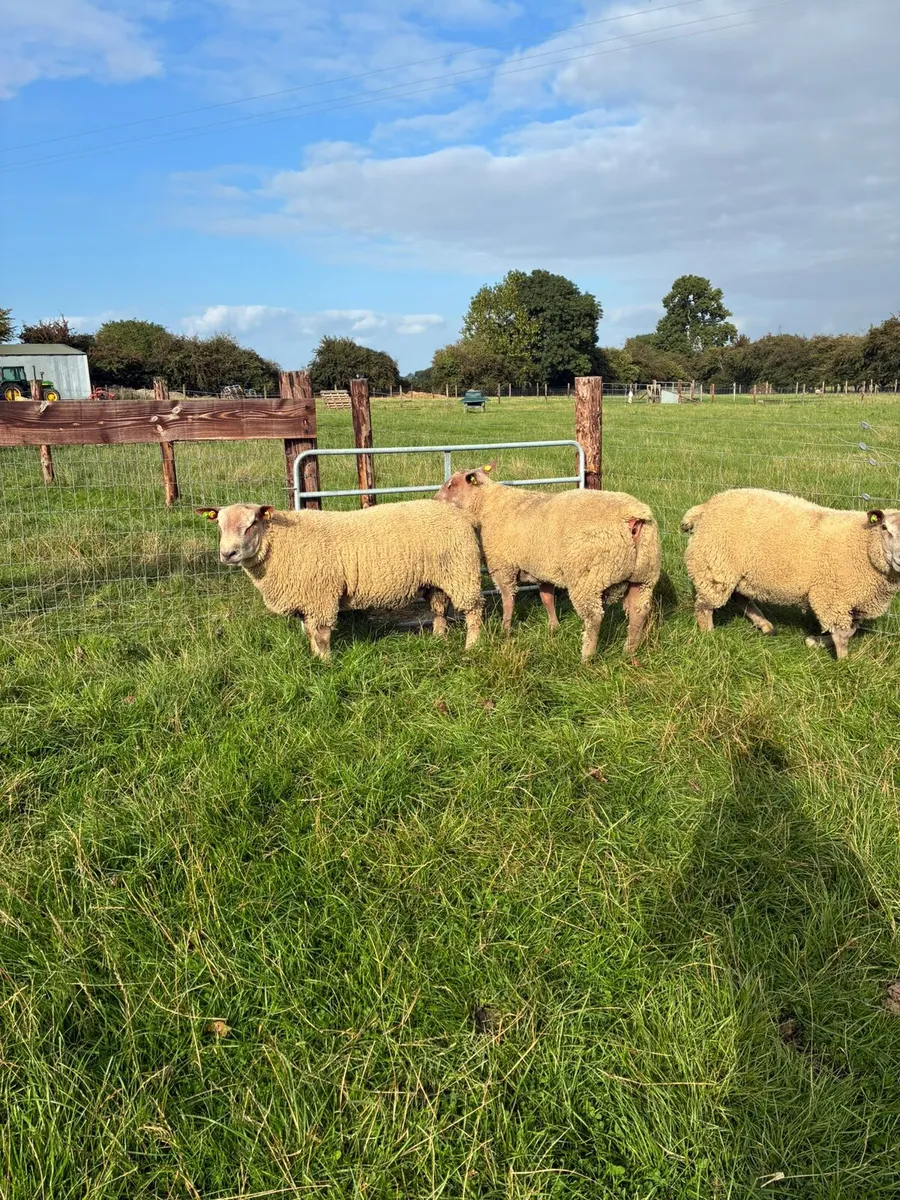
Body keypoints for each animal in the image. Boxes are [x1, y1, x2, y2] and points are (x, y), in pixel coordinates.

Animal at [197, 501, 483, 659]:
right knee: (439, 608)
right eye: (219, 525)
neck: (279, 543)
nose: (228, 554)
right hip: (439, 577)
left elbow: (321, 635)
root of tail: (461, 515)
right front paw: (314, 659)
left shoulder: (320, 595)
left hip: (462, 572)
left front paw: (325, 664)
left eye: (252, 524)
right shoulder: (308, 600)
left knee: (474, 610)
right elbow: (310, 633)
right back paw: (439, 638)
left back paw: (472, 647)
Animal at [434, 464, 661, 659]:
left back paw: (586, 657)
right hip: (644, 577)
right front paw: (553, 627)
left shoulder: (503, 567)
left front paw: (505, 630)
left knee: (594, 617)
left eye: (451, 485)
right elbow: (547, 598)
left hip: (587, 579)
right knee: (638, 612)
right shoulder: (542, 569)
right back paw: (629, 651)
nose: (434, 499)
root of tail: (633, 519)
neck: (485, 503)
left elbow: (508, 601)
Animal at [681, 488, 900, 658]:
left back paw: (765, 626)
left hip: (737, 573)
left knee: (740, 598)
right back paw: (709, 635)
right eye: (884, 528)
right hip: (715, 566)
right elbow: (842, 635)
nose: (899, 559)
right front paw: (844, 662)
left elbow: (852, 630)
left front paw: (816, 641)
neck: (864, 545)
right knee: (704, 606)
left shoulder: (856, 603)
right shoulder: (831, 597)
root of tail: (705, 507)